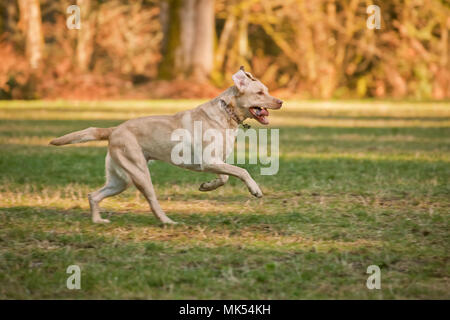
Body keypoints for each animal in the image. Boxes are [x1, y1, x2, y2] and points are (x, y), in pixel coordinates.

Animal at [49, 66, 282, 224]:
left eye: (267, 90)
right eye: (260, 93)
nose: (280, 102)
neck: (227, 113)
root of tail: (114, 129)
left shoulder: (217, 161)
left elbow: (224, 177)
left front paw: (207, 186)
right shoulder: (208, 161)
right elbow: (242, 171)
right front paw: (255, 189)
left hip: (120, 180)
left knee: (93, 195)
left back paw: (98, 220)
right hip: (140, 174)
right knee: (152, 202)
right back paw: (167, 221)